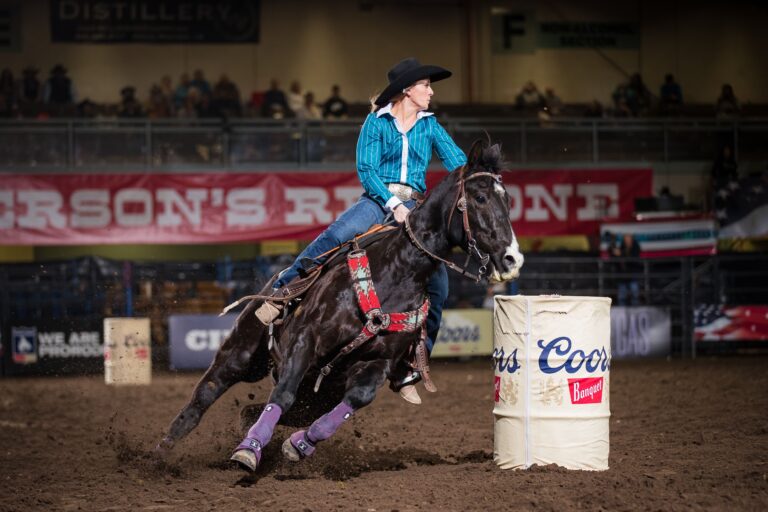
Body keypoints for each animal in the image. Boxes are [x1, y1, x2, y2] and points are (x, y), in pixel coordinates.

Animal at [157, 140, 524, 472]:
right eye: (480, 198)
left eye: (507, 200)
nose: (513, 258)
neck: (398, 271)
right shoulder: (305, 339)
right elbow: (282, 394)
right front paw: (248, 450)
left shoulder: (378, 364)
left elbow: (355, 400)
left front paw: (299, 445)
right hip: (242, 354)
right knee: (205, 394)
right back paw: (163, 451)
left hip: (317, 394)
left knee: (257, 409)